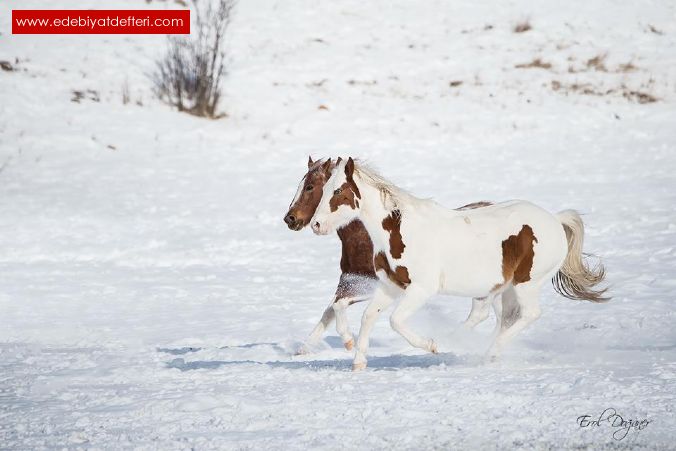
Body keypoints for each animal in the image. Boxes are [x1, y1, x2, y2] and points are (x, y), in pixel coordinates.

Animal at [282, 157, 500, 354]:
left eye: (310, 187)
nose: (290, 219)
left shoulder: (372, 285)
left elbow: (337, 307)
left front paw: (348, 341)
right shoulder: (349, 282)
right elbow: (329, 311)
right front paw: (304, 349)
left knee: (482, 314)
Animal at [310, 158, 608, 370]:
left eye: (338, 190)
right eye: (322, 190)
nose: (316, 224)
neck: (398, 231)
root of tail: (555, 220)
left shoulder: (421, 289)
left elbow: (395, 320)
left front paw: (431, 345)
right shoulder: (390, 286)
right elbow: (369, 316)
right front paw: (358, 360)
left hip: (527, 284)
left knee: (529, 315)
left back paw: (486, 352)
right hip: (503, 288)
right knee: (500, 318)